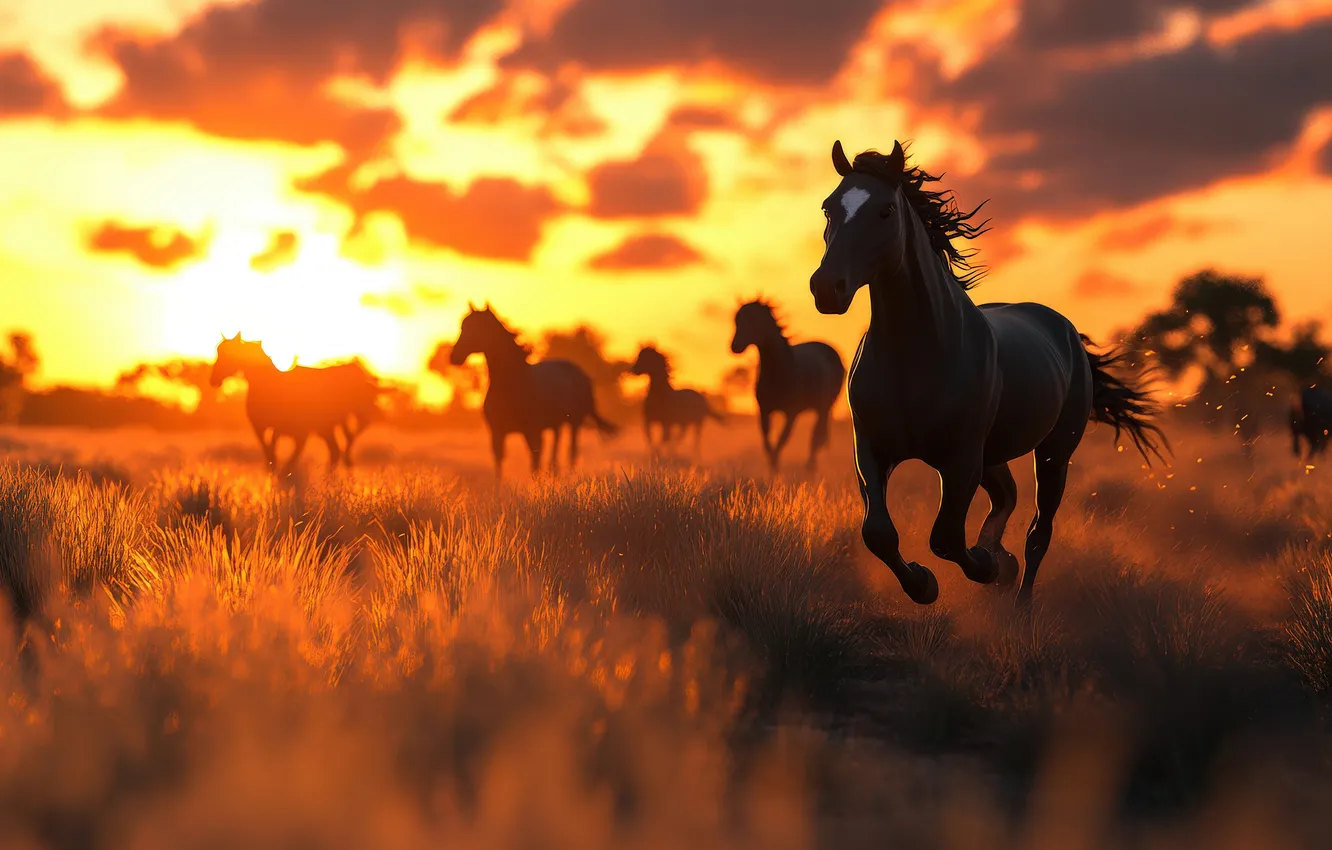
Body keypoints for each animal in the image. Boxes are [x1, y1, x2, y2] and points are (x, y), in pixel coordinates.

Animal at [209, 333, 380, 475]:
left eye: (228, 354)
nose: (213, 380)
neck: (267, 385)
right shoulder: (259, 427)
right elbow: (269, 452)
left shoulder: (281, 428)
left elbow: (275, 452)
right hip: (325, 428)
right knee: (335, 450)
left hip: (322, 427)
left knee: (334, 450)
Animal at [449, 303, 619, 477]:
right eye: (463, 326)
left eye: (478, 327)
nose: (454, 357)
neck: (512, 385)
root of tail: (582, 374)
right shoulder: (498, 434)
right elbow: (499, 467)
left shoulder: (532, 432)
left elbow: (535, 465)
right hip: (556, 425)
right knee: (556, 449)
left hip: (575, 423)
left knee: (571, 452)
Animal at [730, 299, 845, 473]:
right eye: (736, 320)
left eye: (753, 319)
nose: (735, 346)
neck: (781, 369)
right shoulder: (764, 411)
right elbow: (768, 442)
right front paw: (773, 470)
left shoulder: (791, 414)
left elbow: (781, 441)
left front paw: (776, 470)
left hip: (823, 408)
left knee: (816, 438)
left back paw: (810, 469)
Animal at [808, 140, 1167, 607]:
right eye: (829, 207)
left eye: (885, 210)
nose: (826, 288)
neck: (915, 356)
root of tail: (1065, 329)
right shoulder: (872, 448)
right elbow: (878, 533)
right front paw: (926, 583)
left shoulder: (960, 459)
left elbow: (946, 538)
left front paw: (985, 567)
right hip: (993, 455)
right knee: (1007, 497)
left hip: (1053, 453)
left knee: (1038, 533)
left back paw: (1020, 601)